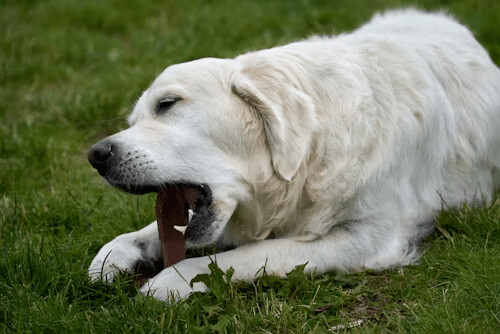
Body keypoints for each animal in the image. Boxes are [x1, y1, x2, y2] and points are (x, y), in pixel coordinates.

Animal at [88, 9, 500, 302]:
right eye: (133, 120)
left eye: (168, 104)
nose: (96, 154)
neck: (307, 157)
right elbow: (143, 234)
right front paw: (116, 254)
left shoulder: (367, 235)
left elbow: (252, 254)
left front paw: (173, 279)